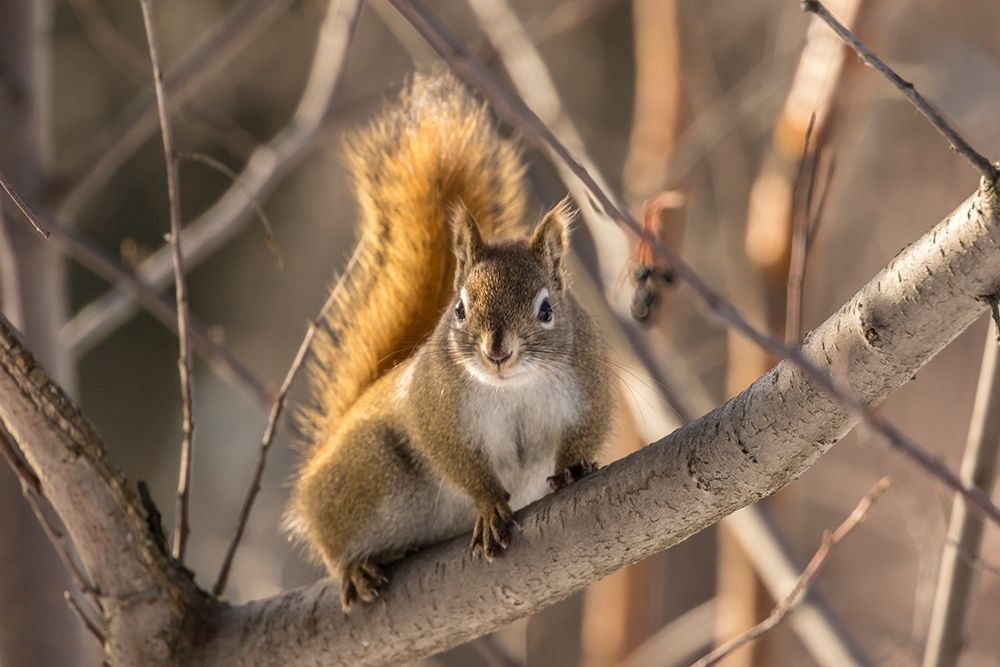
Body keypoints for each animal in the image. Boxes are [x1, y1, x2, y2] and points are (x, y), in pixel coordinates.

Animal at [286, 72, 611, 611]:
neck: (512, 387)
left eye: (546, 310)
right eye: (459, 309)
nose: (497, 352)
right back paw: (354, 567)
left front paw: (571, 468)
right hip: (366, 475)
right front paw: (490, 506)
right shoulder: (435, 410)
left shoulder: (590, 384)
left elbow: (587, 430)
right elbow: (456, 459)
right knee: (331, 539)